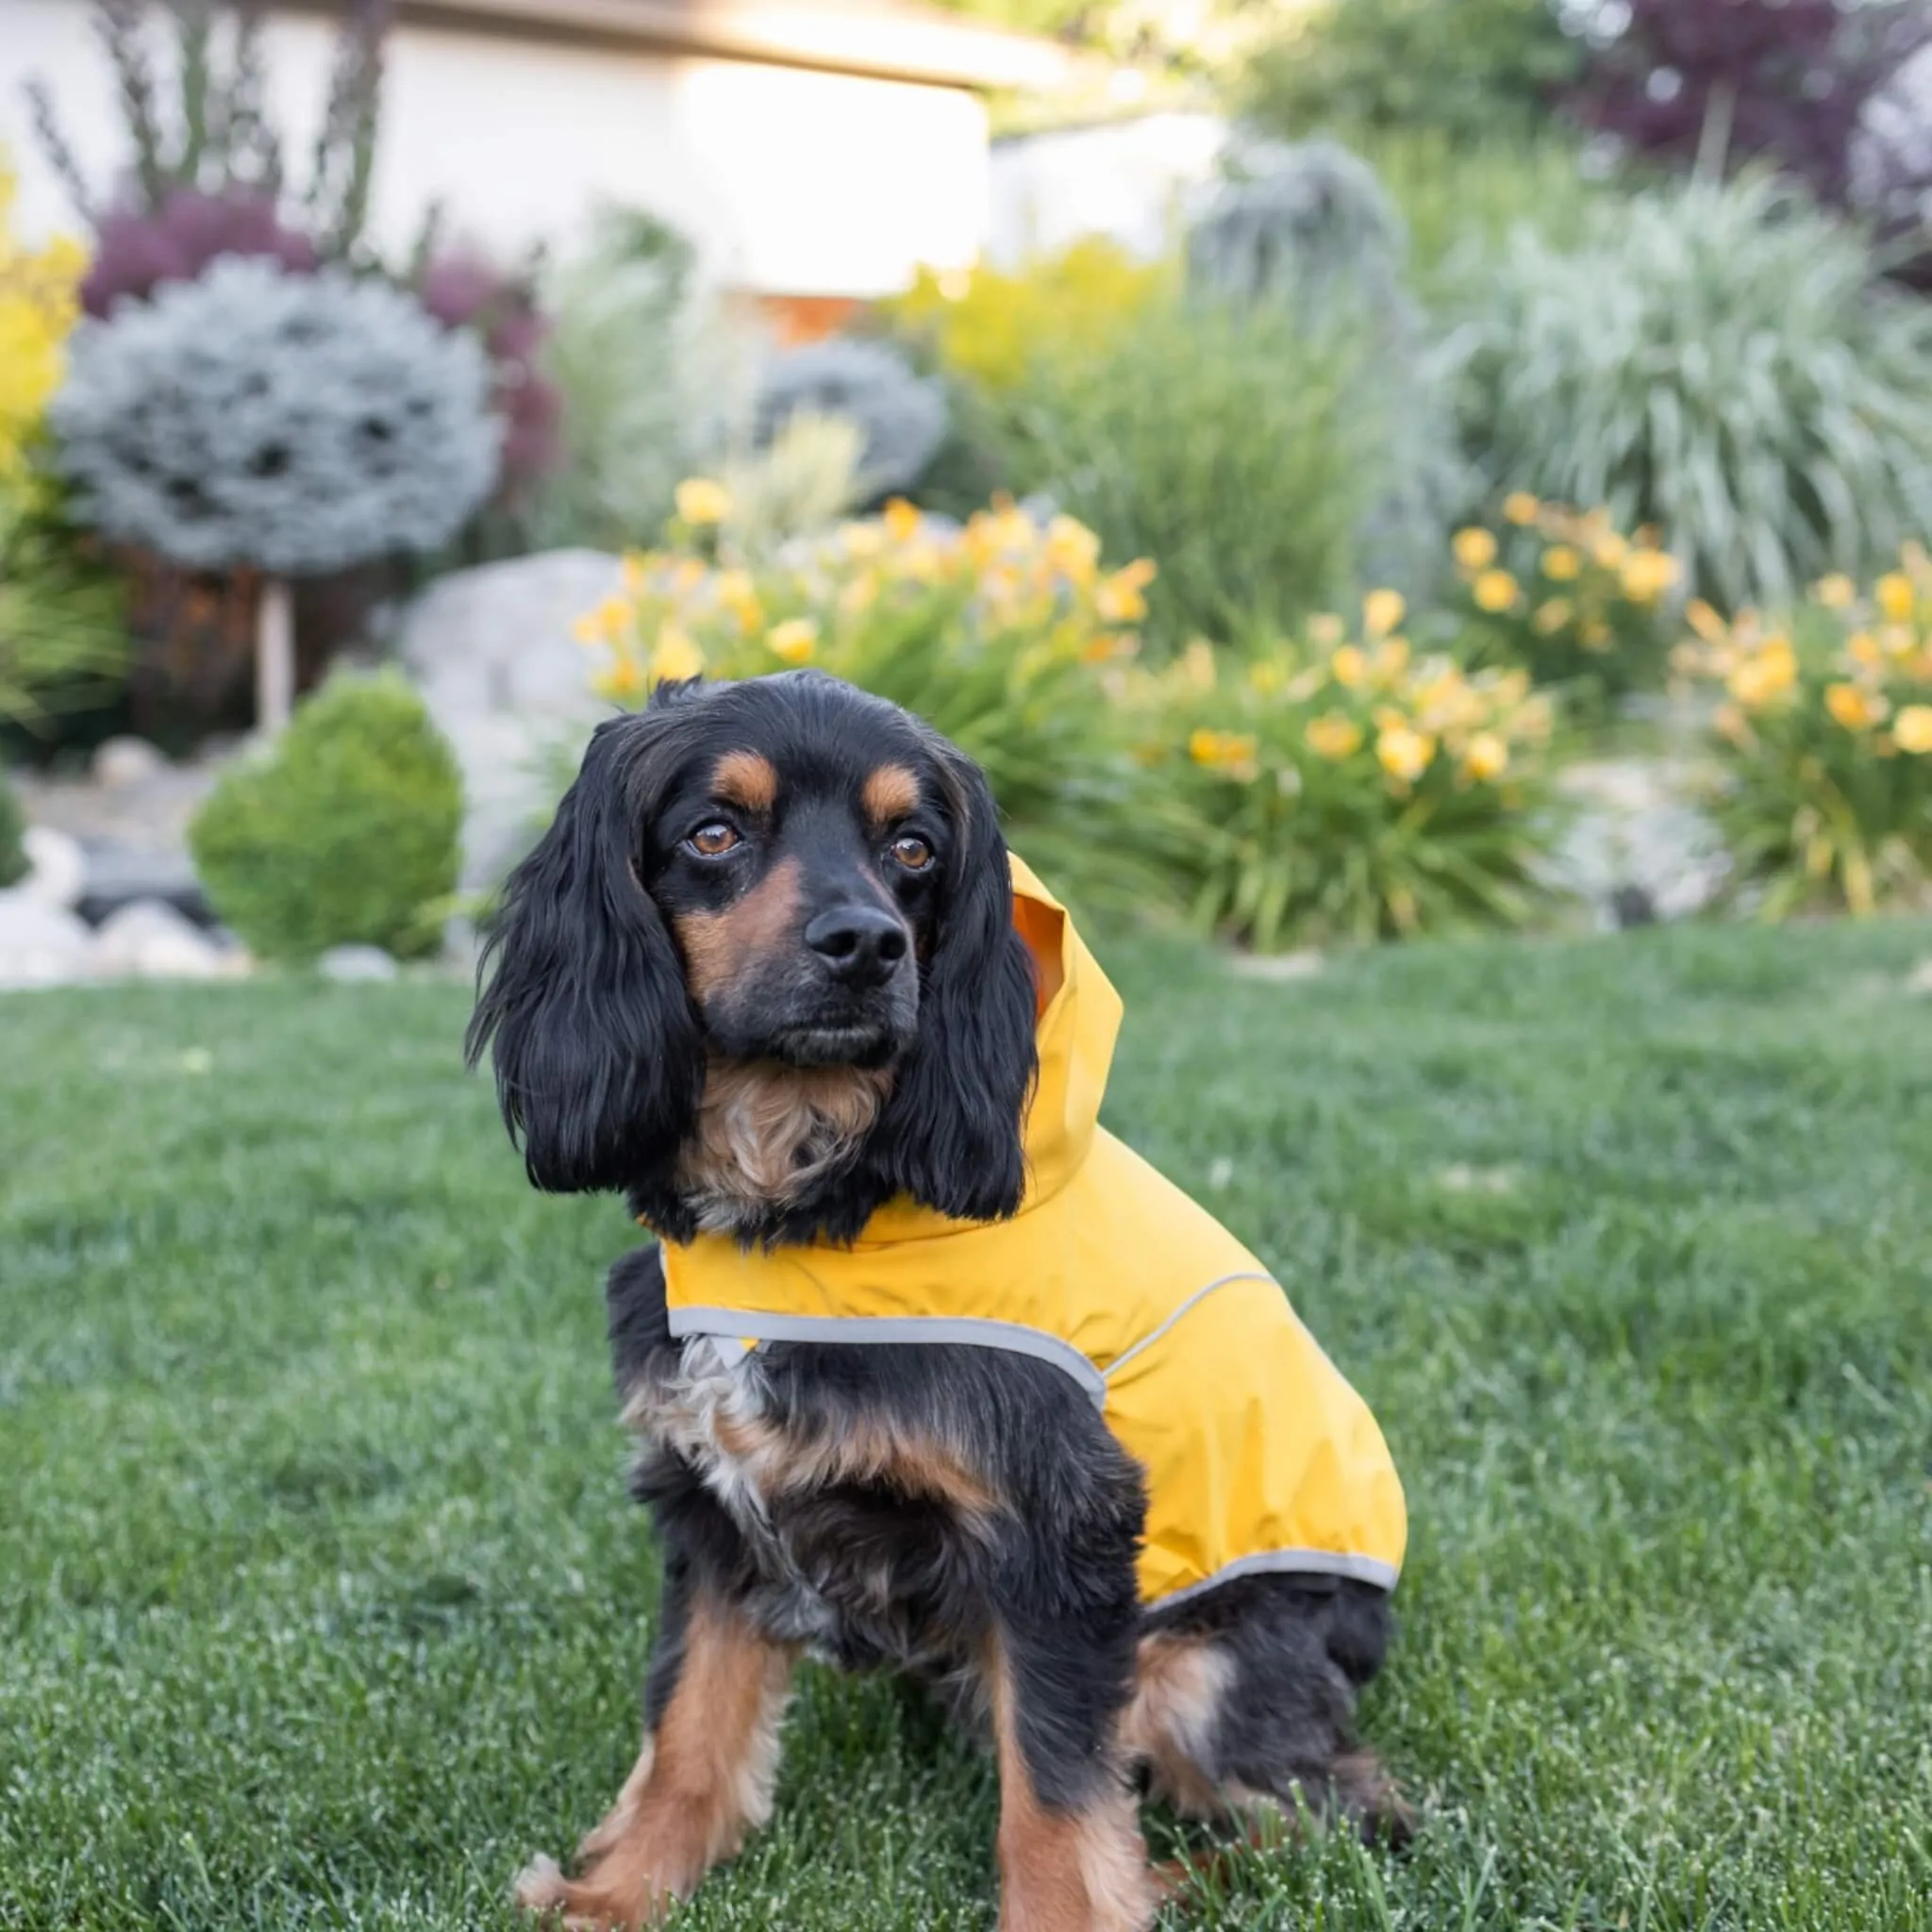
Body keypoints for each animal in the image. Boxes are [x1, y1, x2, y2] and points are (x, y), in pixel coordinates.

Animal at [467, 668, 1406, 1932]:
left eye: (911, 847)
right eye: (714, 832)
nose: (863, 943)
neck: (800, 1210)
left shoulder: (1058, 1529)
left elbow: (1052, 1793)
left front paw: (1073, 1917)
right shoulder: (712, 1513)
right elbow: (688, 1729)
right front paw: (617, 1894)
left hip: (1204, 1662)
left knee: (1337, 1816)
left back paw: (1164, 1883)